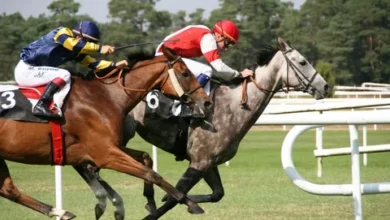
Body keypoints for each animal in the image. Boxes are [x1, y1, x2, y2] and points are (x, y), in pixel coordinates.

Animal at [0, 45, 212, 219]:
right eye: (185, 73)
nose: (207, 101)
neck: (105, 96)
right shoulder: (105, 154)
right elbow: (152, 174)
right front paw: (190, 203)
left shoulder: (109, 148)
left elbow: (146, 159)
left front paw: (149, 202)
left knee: (8, 189)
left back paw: (59, 211)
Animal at [73, 38, 330, 220]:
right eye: (303, 62)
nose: (326, 87)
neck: (234, 106)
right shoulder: (198, 162)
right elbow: (174, 198)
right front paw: (167, 202)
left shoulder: (208, 163)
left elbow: (216, 194)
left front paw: (167, 198)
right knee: (90, 166)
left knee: (91, 167)